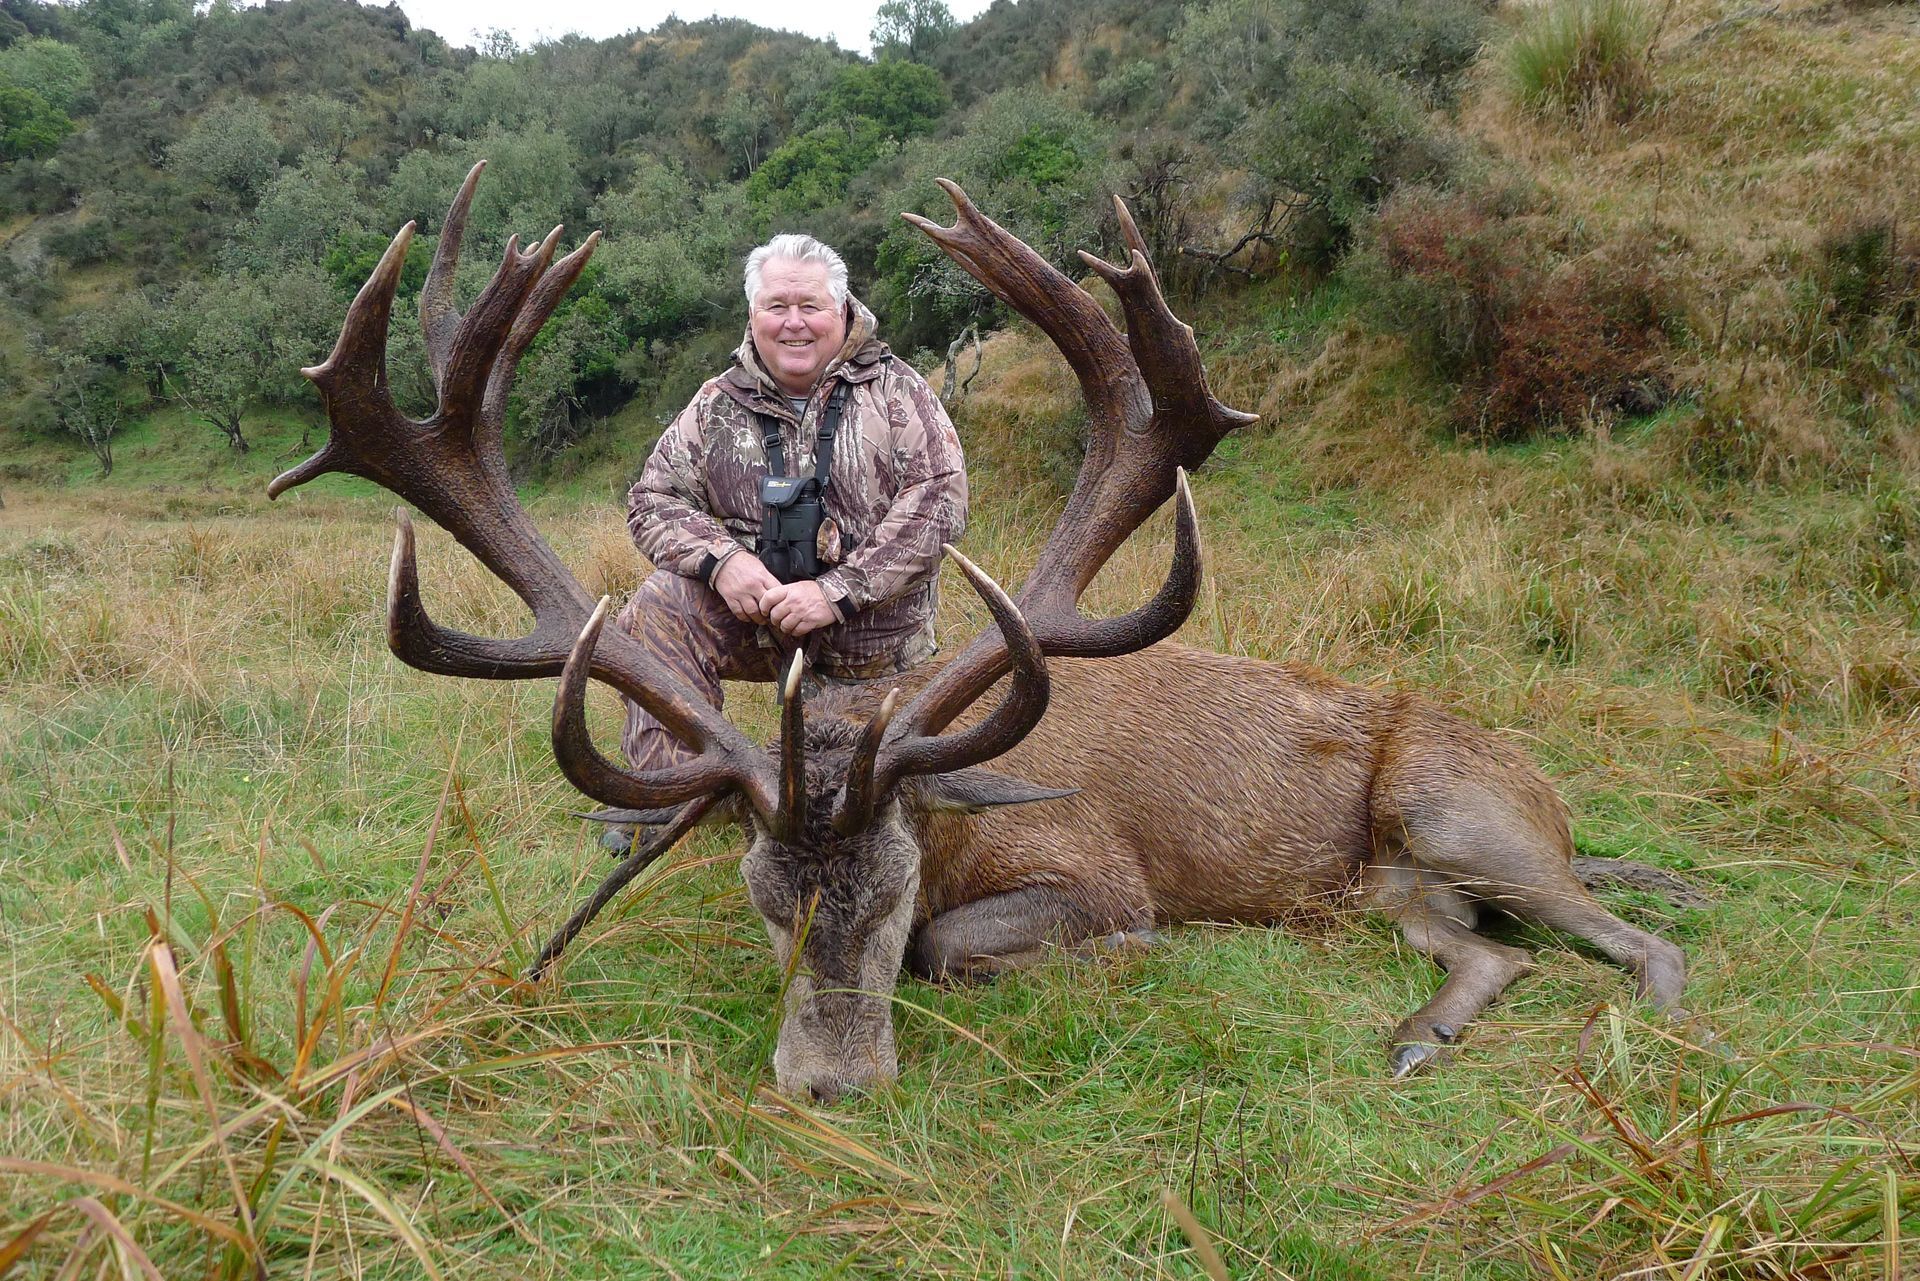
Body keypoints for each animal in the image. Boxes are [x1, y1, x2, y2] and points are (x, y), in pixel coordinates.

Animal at [271, 164, 1690, 1104]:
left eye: (896, 885)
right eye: (763, 898)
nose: (830, 1086)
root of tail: (1552, 798)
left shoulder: (1094, 868)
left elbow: (977, 946)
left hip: (1459, 810)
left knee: (1634, 938)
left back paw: (1658, 1023)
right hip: (1393, 885)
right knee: (1492, 952)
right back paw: (1414, 1034)